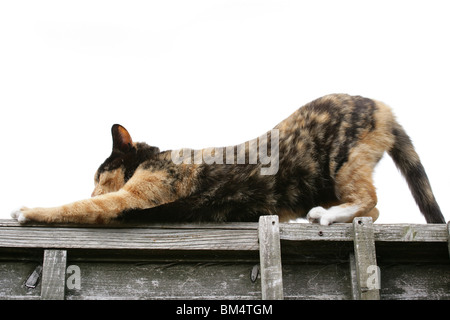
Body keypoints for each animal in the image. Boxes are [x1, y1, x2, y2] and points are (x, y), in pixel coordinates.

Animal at [12, 94, 444, 226]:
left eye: (99, 176)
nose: (91, 186)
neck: (154, 157)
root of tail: (384, 108)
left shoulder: (133, 197)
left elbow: (75, 207)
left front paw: (27, 211)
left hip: (344, 161)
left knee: (370, 200)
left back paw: (327, 215)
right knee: (372, 210)